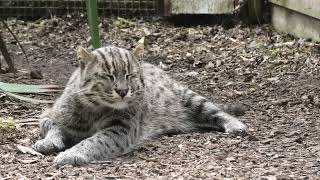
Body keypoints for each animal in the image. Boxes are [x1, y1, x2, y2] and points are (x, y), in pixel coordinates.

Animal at [32, 43, 248, 167]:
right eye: (108, 76)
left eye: (130, 75)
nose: (123, 91)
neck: (95, 109)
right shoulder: (48, 113)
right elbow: (51, 126)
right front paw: (49, 142)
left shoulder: (122, 129)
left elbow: (94, 141)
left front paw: (72, 154)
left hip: (191, 98)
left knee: (216, 111)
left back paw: (235, 124)